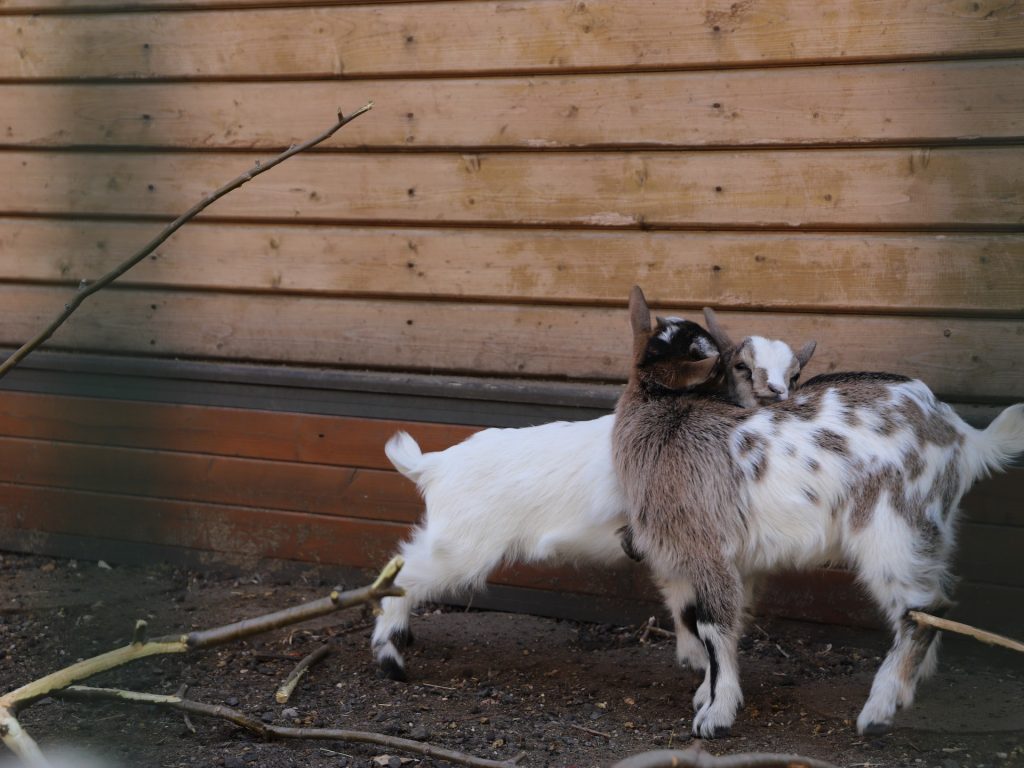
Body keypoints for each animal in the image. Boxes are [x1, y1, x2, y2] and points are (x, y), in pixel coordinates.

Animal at [371, 321, 815, 682]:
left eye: (795, 373)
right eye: (740, 367)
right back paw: (391, 660)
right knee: (405, 573)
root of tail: (433, 465)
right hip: (461, 546)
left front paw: (696, 662)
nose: (777, 396)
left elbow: (685, 606)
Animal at [613, 286, 1024, 738]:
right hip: (931, 528)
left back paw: (879, 711)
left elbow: (713, 628)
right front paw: (709, 695)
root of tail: (962, 436)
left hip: (892, 529)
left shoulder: (708, 552)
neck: (669, 420)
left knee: (926, 609)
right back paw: (909, 685)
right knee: (936, 593)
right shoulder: (740, 563)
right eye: (733, 367)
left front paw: (715, 716)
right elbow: (731, 625)